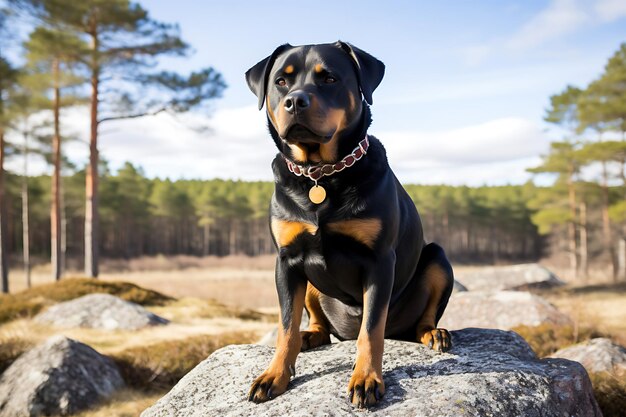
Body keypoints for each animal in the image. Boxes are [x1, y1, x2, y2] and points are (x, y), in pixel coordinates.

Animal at [244, 41, 454, 406]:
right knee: (316, 322)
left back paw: (434, 333)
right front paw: (275, 374)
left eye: (329, 78)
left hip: (438, 258)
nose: (295, 100)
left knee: (422, 315)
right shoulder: (286, 260)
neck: (321, 176)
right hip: (311, 284)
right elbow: (285, 326)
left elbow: (371, 330)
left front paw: (366, 379)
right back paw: (311, 335)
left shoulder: (379, 260)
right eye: (281, 82)